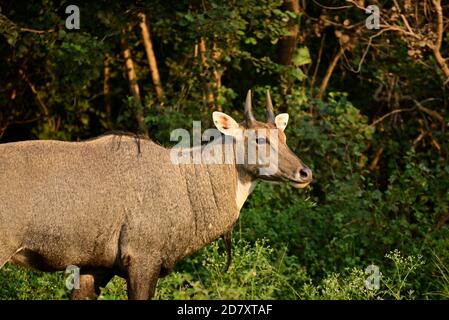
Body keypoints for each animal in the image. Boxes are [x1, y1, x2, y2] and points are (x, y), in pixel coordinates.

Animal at [0, 90, 312, 300]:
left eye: (283, 137)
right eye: (259, 139)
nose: (305, 172)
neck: (186, 182)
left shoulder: (95, 267)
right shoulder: (143, 259)